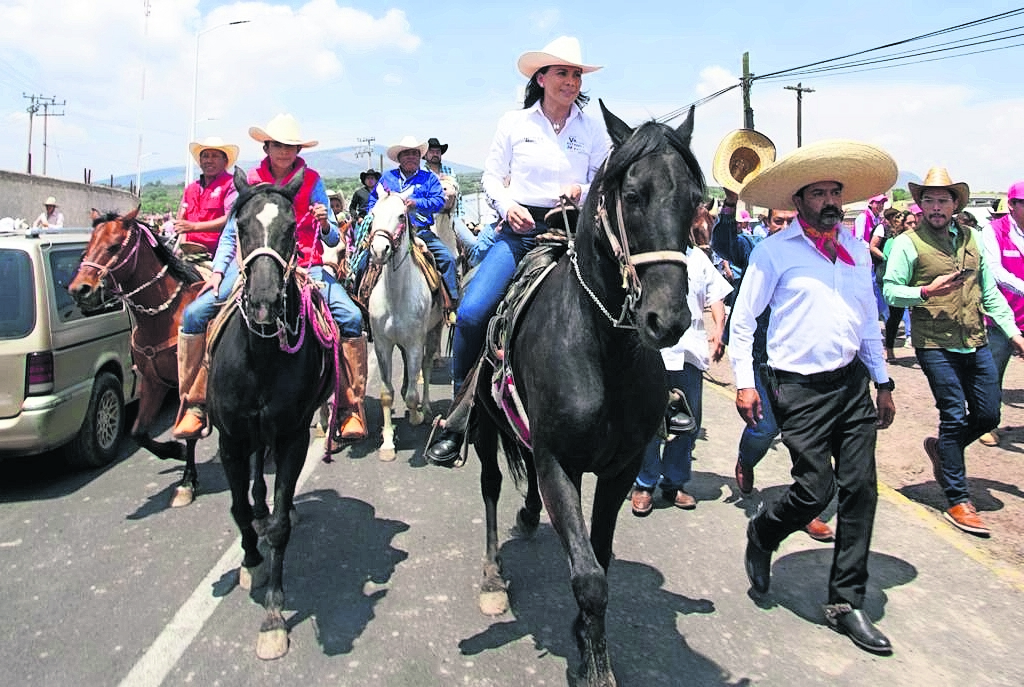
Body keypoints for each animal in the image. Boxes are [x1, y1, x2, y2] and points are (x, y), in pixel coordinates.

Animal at [68, 205, 205, 505]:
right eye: (87, 247)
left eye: (113, 246)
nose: (79, 290)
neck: (165, 315)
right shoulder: (152, 382)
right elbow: (138, 433)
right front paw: (174, 451)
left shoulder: (188, 382)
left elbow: (189, 431)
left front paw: (187, 482)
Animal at [207, 166, 335, 659]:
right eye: (240, 227)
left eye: (291, 228)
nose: (263, 302)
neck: (260, 356)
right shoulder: (230, 440)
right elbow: (239, 508)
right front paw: (251, 561)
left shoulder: (293, 435)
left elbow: (279, 524)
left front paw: (275, 615)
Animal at [370, 186, 446, 462]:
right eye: (373, 213)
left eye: (402, 215)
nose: (379, 250)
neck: (395, 296)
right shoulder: (382, 343)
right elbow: (386, 394)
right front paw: (387, 444)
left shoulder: (415, 342)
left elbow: (414, 389)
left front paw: (415, 416)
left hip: (433, 332)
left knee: (425, 367)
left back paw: (427, 407)